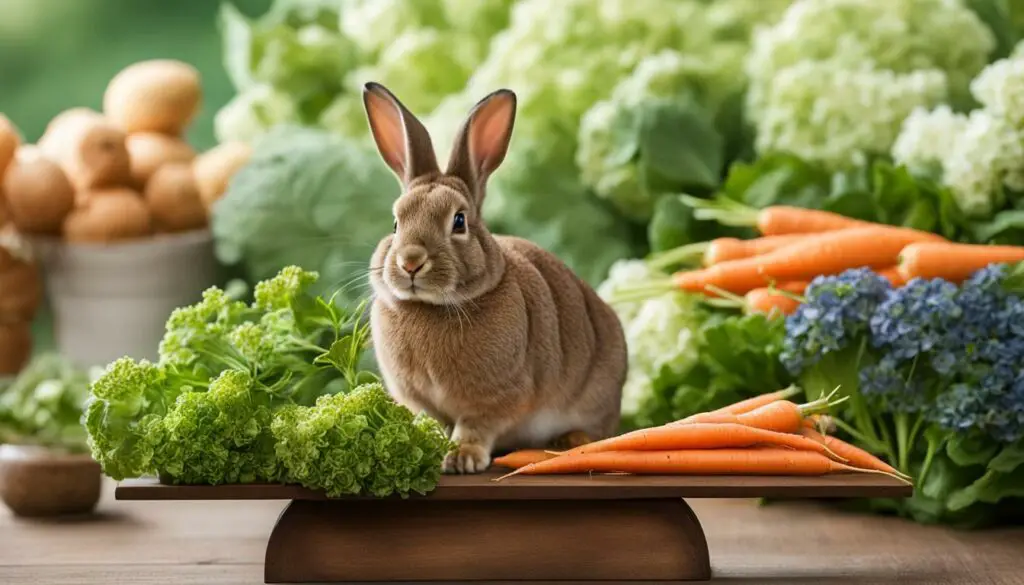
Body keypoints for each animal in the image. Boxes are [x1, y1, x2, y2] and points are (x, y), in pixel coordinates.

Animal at [364, 83, 626, 475]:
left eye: (459, 221)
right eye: (395, 223)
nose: (410, 261)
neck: (432, 306)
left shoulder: (497, 397)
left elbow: (475, 426)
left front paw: (462, 457)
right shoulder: (418, 400)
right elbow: (433, 423)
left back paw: (568, 442)